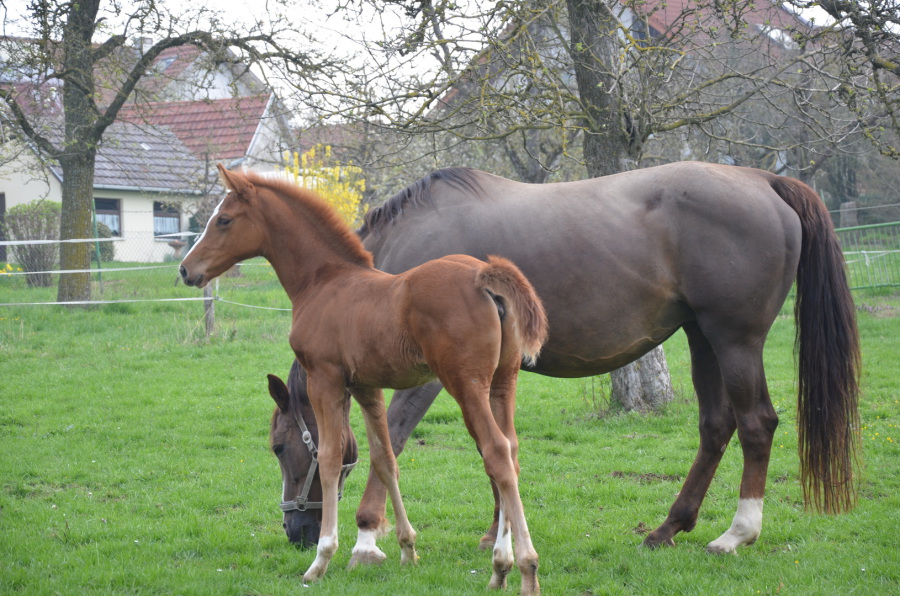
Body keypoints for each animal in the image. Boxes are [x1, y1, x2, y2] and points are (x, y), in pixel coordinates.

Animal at [179, 165, 549, 594]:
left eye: (223, 220)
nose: (186, 269)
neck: (324, 282)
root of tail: (482, 274)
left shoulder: (325, 379)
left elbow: (329, 458)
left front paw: (321, 560)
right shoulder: (366, 387)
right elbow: (384, 458)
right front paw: (405, 549)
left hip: (466, 384)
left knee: (496, 453)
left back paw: (525, 568)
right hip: (503, 383)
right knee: (512, 451)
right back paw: (499, 568)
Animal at [271, 162, 860, 562]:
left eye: (278, 447)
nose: (296, 533)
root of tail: (763, 179)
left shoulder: (431, 379)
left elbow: (391, 438)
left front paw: (368, 535)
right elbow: (496, 448)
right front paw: (499, 534)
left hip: (734, 340)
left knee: (756, 424)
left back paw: (735, 534)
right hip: (702, 338)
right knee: (716, 427)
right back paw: (667, 528)